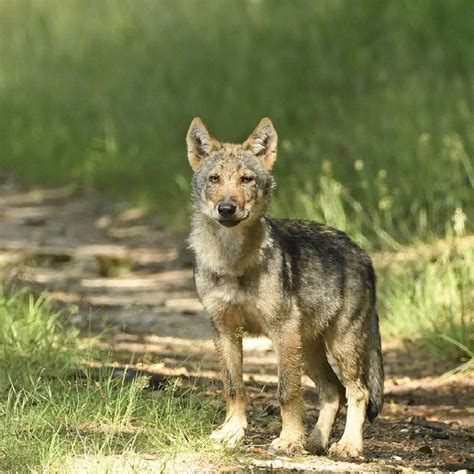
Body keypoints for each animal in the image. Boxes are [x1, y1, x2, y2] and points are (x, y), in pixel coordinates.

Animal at [187, 116, 384, 458]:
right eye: (214, 179)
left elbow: (287, 392)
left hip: (339, 345)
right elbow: (233, 387)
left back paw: (347, 445)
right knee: (333, 391)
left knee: (357, 392)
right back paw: (316, 441)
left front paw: (289, 439)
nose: (227, 208)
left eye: (246, 180)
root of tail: (363, 254)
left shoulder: (282, 331)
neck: (233, 261)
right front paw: (232, 433)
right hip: (310, 350)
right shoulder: (224, 331)